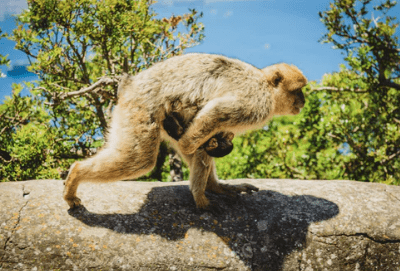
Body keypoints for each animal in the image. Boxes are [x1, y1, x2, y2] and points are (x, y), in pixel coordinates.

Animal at [64, 53, 306, 212]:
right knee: (140, 159)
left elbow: (209, 133)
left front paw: (209, 188)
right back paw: (75, 174)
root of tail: (130, 84)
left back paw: (213, 184)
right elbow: (216, 112)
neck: (266, 86)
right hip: (141, 107)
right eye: (298, 91)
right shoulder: (256, 102)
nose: (303, 100)